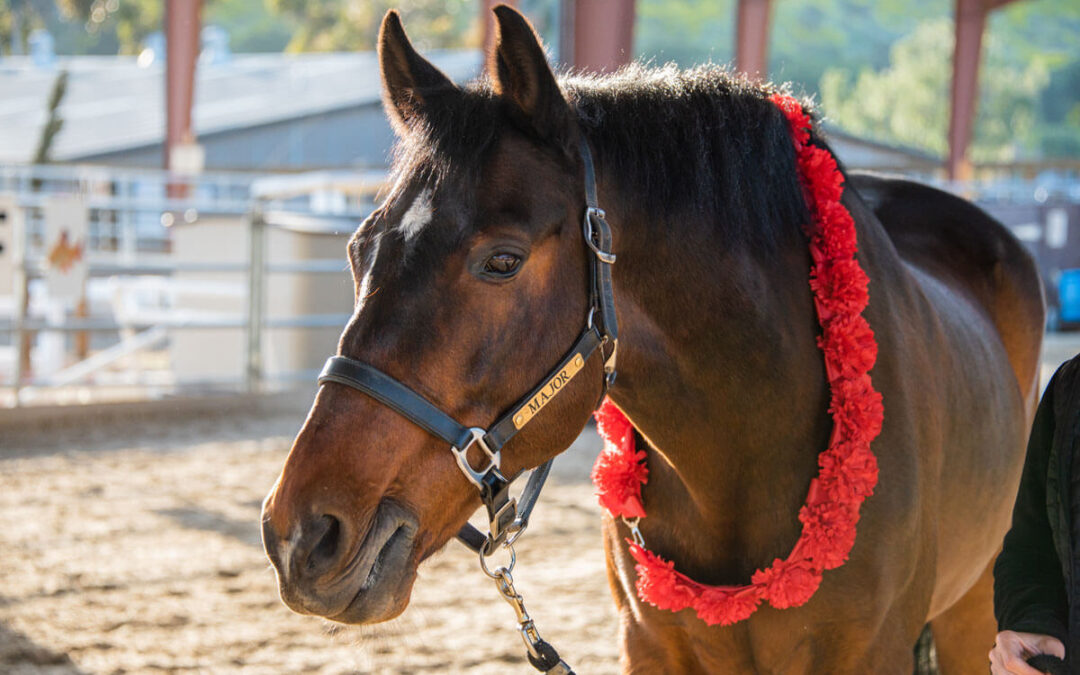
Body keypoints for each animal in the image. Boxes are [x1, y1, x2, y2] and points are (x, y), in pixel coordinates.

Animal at [260, 6, 1045, 673]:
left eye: (502, 261)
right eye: (359, 249)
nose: (303, 535)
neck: (747, 448)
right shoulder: (649, 646)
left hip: (975, 610)